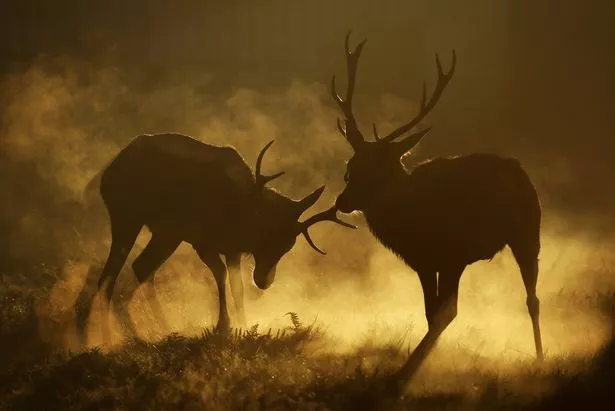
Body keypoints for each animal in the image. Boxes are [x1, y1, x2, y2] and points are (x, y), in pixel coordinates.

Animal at [83, 134, 352, 346]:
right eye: (265, 233)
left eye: (289, 245)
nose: (264, 281)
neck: (236, 214)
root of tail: (107, 174)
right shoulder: (203, 242)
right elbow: (221, 275)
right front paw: (223, 326)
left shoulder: (232, 250)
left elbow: (237, 286)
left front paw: (245, 325)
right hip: (129, 217)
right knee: (112, 275)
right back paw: (111, 339)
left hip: (166, 232)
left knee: (138, 267)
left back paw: (150, 331)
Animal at [330, 33, 548, 390]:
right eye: (352, 165)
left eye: (379, 168)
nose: (341, 202)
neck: (416, 223)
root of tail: (519, 170)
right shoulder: (423, 261)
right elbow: (432, 313)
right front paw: (418, 368)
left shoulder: (452, 256)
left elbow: (447, 313)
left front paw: (402, 376)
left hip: (528, 233)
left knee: (533, 299)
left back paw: (541, 358)